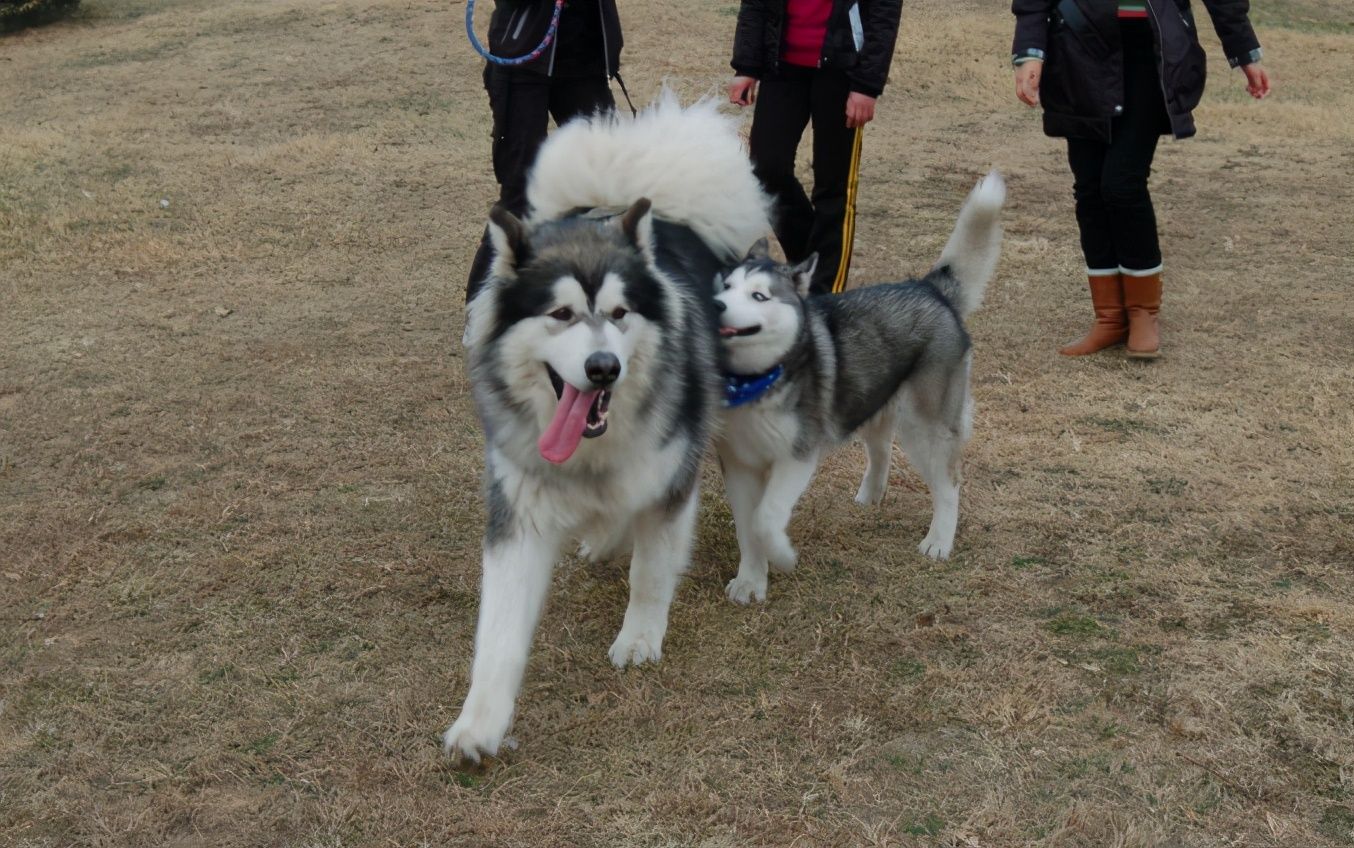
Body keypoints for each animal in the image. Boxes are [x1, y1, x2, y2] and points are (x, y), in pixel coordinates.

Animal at [446, 94, 774, 758]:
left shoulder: (669, 475)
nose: (603, 368)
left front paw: (640, 637)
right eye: (561, 314)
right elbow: (499, 629)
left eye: (620, 313)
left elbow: (650, 569)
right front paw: (481, 721)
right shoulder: (519, 506)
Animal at [714, 170, 1001, 601]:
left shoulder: (797, 457)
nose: (715, 305)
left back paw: (938, 541)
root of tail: (929, 288)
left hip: (926, 428)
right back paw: (871, 496)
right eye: (725, 287)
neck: (757, 382)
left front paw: (782, 555)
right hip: (873, 400)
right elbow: (749, 529)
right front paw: (751, 581)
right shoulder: (739, 466)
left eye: (759, 295)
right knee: (881, 451)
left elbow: (766, 519)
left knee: (949, 483)